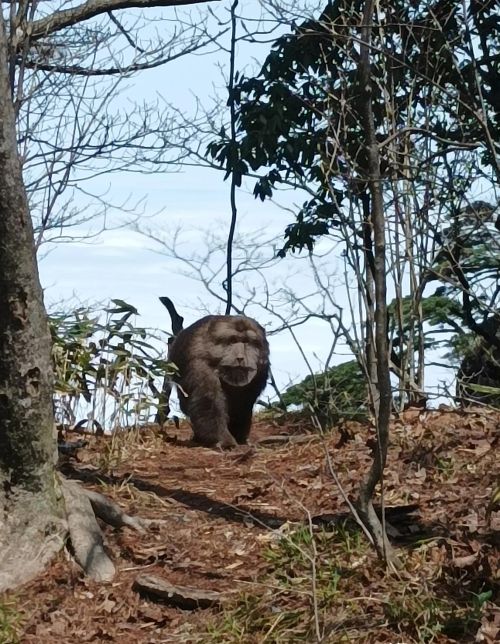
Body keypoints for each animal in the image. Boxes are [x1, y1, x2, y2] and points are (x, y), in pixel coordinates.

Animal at [160, 300, 270, 448]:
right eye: (232, 341)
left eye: (248, 342)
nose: (240, 357)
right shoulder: (199, 365)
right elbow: (208, 402)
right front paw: (223, 440)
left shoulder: (261, 370)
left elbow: (243, 404)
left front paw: (238, 437)